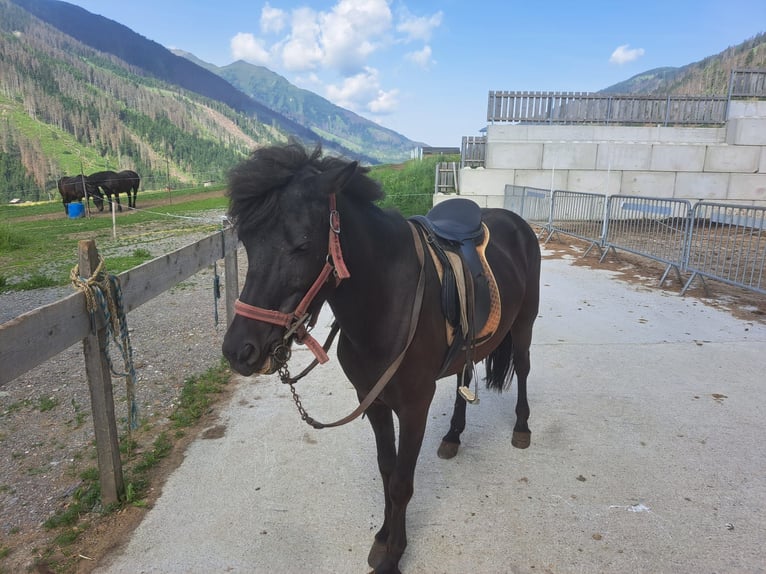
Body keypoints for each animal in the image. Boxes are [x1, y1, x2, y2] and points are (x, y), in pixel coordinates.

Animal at [222, 143, 541, 574]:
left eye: (302, 245)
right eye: (248, 243)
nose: (239, 350)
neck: (387, 302)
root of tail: (515, 222)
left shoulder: (414, 405)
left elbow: (402, 482)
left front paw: (394, 554)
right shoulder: (371, 400)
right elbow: (387, 471)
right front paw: (383, 537)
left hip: (524, 325)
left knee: (522, 369)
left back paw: (521, 428)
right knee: (464, 379)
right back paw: (453, 435)